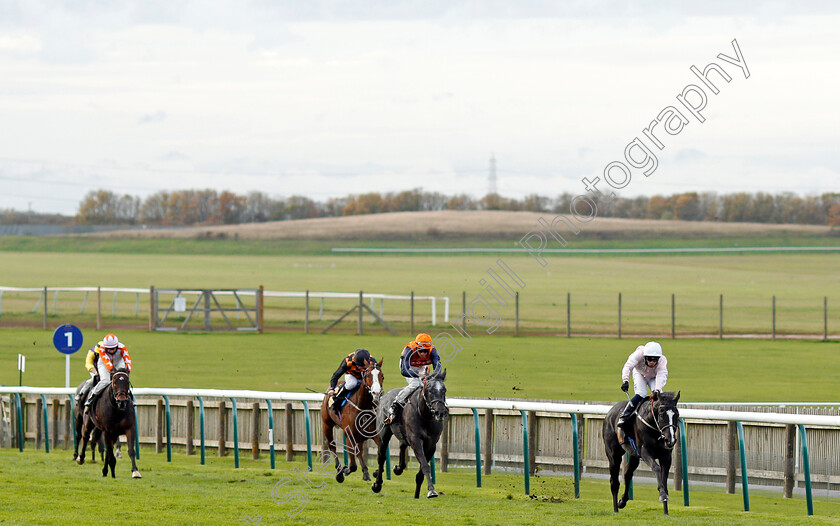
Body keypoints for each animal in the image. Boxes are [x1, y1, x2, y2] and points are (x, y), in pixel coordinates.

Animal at [370, 372, 442, 500]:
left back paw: (397, 468)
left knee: (402, 447)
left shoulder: (431, 445)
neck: (425, 416)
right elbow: (424, 465)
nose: (440, 411)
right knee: (381, 457)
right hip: (383, 435)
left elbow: (422, 470)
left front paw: (418, 493)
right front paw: (432, 491)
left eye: (444, 390)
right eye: (430, 390)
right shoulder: (416, 441)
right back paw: (377, 484)